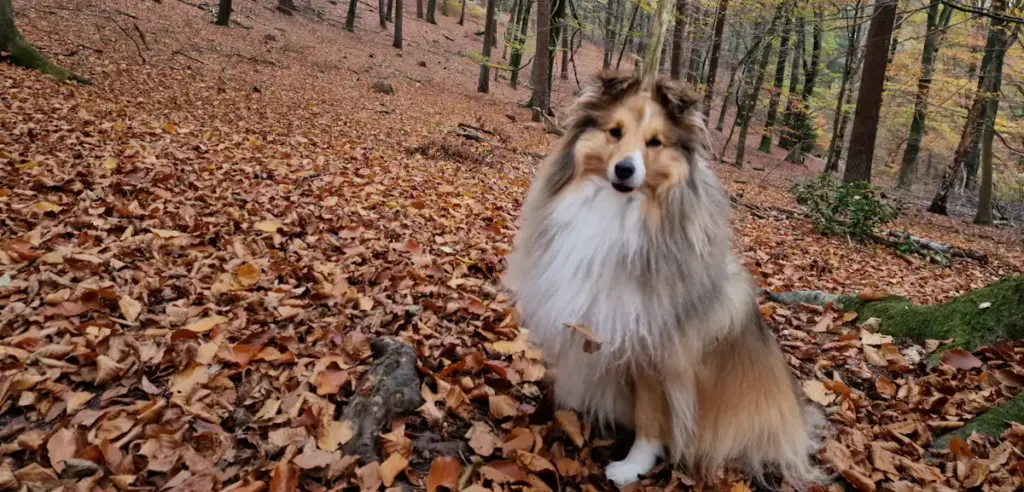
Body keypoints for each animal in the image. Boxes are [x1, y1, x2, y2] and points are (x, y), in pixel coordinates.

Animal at [501, 72, 823, 487]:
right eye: (615, 132)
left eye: (655, 142)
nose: (625, 169)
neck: (619, 213)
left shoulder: (655, 354)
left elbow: (651, 419)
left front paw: (632, 466)